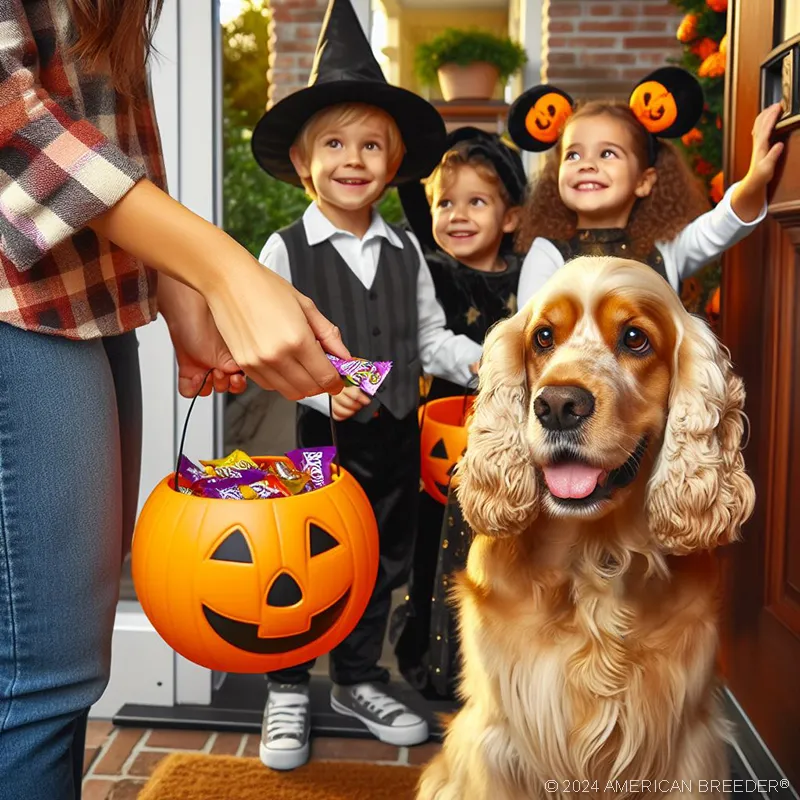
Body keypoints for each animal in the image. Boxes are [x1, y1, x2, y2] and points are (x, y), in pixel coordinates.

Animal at [418, 258, 756, 800]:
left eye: (636, 338)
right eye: (543, 337)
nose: (557, 405)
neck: (596, 554)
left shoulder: (685, 742)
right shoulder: (502, 739)